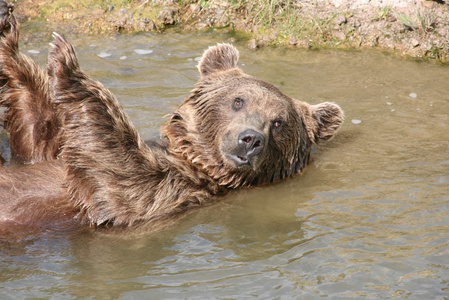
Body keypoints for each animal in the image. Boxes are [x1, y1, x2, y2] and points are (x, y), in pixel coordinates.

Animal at [0, 1, 344, 230]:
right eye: (238, 101)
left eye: (279, 122)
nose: (250, 139)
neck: (196, 160)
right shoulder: (49, 154)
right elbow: (40, 134)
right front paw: (9, 36)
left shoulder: (171, 192)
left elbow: (116, 176)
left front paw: (67, 64)